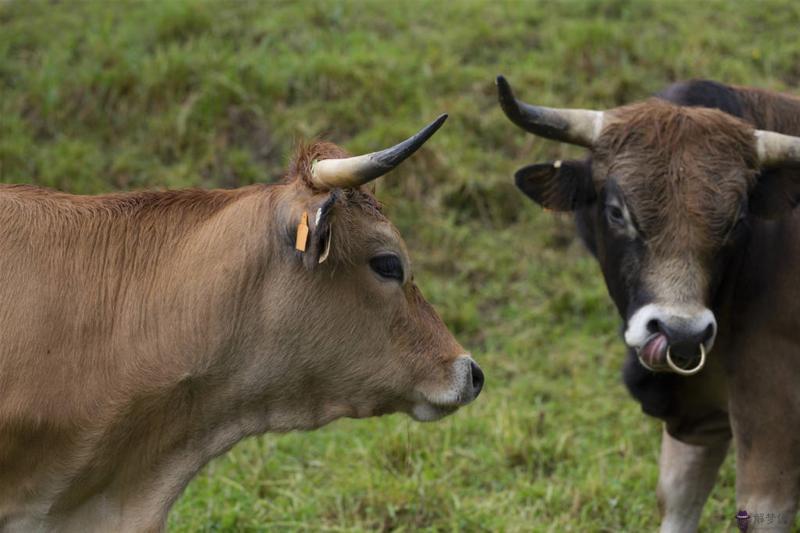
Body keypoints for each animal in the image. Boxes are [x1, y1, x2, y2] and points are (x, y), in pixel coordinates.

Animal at [500, 76, 800, 532]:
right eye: (616, 211)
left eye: (737, 220)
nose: (680, 333)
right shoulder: (699, 418)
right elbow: (676, 500)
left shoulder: (773, 424)